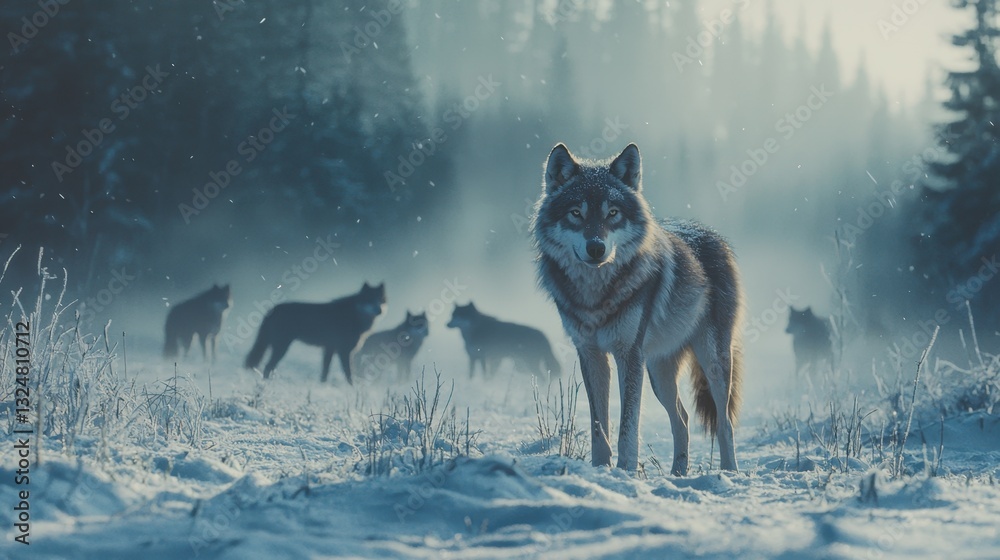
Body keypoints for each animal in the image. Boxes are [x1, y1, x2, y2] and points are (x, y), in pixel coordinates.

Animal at [244, 282, 385, 383]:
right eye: (370, 299)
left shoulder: (329, 349)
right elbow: (348, 374)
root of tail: (273, 309)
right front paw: (352, 389)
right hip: (282, 348)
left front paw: (322, 387)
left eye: (381, 300)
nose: (379, 310)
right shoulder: (343, 352)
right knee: (267, 366)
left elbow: (325, 373)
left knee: (269, 366)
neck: (354, 316)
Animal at [531, 143, 744, 475]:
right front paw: (601, 469)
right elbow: (599, 426)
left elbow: (627, 427)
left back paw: (729, 472)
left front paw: (626, 470)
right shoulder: (590, 354)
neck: (596, 296)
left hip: (712, 362)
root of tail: (709, 234)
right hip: (658, 371)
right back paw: (678, 474)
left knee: (725, 424)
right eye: (576, 213)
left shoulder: (629, 354)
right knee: (682, 419)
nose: (596, 248)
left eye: (612, 213)